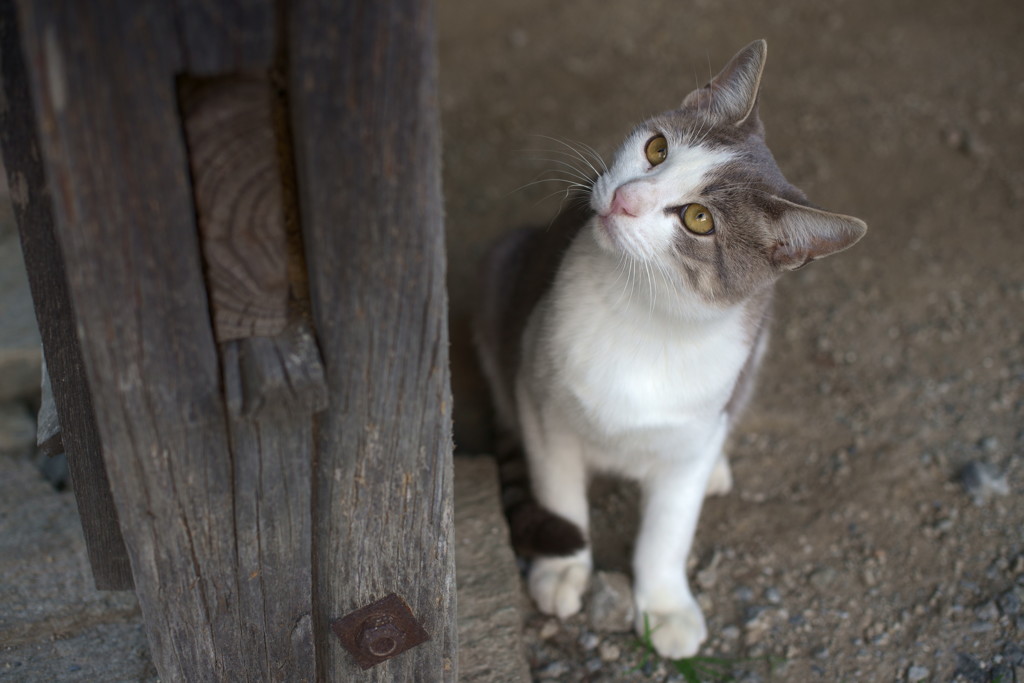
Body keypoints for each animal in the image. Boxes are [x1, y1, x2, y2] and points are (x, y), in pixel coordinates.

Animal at [471, 40, 864, 659]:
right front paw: (562, 569)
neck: (644, 316)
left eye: (698, 219)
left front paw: (663, 605)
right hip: (502, 268)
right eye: (656, 149)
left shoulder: (691, 436)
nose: (626, 198)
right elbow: (558, 491)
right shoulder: (540, 399)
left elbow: (668, 530)